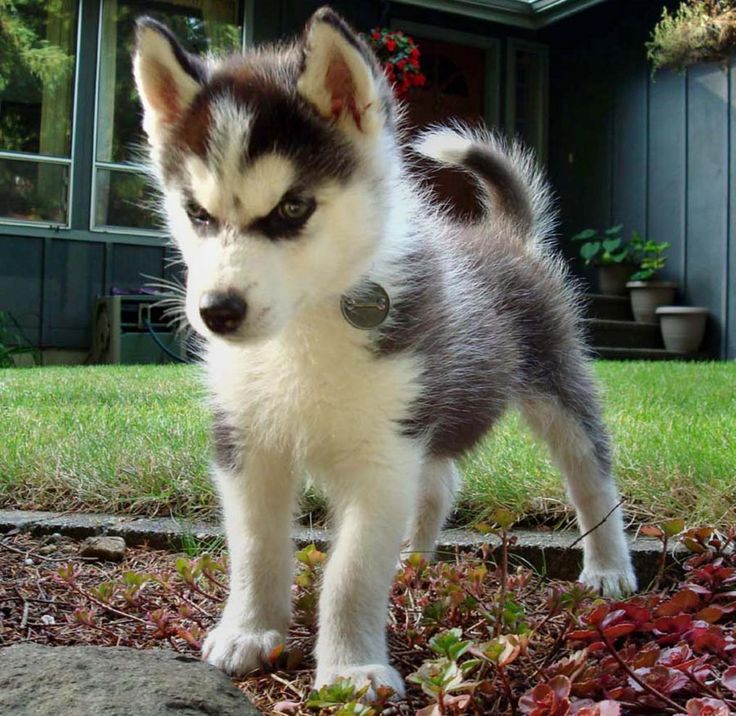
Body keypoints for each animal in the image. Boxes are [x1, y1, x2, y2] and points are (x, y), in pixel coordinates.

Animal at [134, 7, 640, 700]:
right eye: (196, 213)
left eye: (293, 207)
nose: (217, 312)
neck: (305, 331)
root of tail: (505, 234)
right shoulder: (246, 444)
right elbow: (257, 548)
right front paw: (249, 631)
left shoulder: (382, 456)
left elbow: (351, 573)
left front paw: (350, 670)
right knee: (440, 483)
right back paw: (414, 562)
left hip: (556, 383)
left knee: (591, 474)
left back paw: (610, 569)